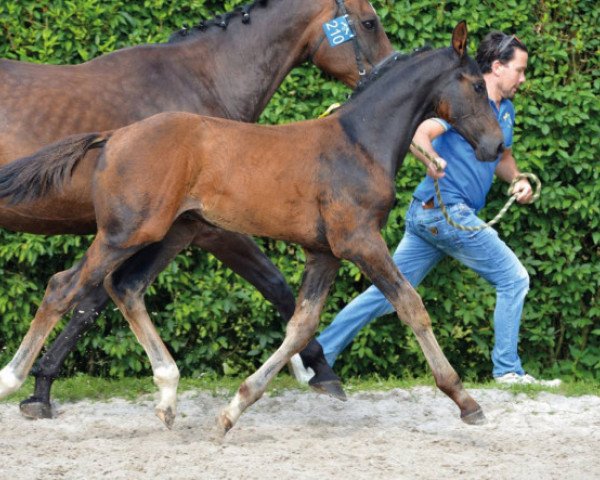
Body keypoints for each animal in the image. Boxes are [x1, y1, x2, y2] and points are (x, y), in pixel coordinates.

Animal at [0, 20, 506, 432]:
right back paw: (14, 380)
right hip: (126, 233)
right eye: (476, 86)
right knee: (64, 287)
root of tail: (114, 137)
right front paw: (465, 401)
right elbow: (410, 305)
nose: (496, 146)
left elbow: (301, 325)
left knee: (124, 287)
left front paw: (236, 408)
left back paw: (167, 395)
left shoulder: (324, 252)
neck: (358, 142)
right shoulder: (360, 241)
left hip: (171, 233)